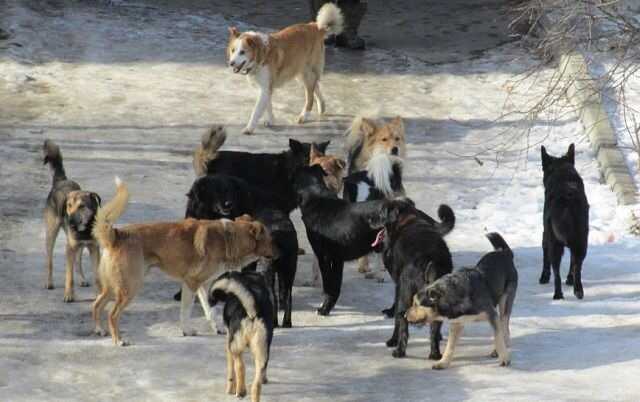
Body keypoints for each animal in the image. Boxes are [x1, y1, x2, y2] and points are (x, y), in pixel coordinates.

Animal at [92, 178, 272, 346]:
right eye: (270, 239)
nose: (278, 251)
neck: (229, 238)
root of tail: (117, 235)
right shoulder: (191, 283)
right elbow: (186, 311)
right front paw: (187, 331)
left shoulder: (203, 285)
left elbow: (210, 310)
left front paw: (218, 328)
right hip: (129, 287)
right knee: (112, 314)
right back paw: (119, 340)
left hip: (114, 287)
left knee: (96, 305)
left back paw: (99, 330)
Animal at [182, 174, 298, 328]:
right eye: (216, 191)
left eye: (229, 191)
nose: (228, 204)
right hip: (289, 269)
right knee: (288, 295)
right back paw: (286, 322)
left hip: (270, 269)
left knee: (273, 294)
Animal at [226, 3, 342, 135]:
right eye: (233, 50)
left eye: (242, 52)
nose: (231, 63)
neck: (261, 55)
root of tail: (315, 26)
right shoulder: (266, 88)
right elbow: (268, 106)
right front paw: (271, 120)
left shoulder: (265, 88)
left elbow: (256, 111)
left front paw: (249, 128)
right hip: (301, 73)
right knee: (315, 86)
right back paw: (322, 107)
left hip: (305, 74)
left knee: (310, 95)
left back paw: (304, 116)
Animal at [296, 165, 396, 316]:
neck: (317, 198)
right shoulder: (337, 259)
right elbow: (335, 285)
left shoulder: (323, 256)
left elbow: (328, 285)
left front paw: (324, 309)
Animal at [540, 144, 592, 298]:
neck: (562, 172)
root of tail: (568, 200)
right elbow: (572, 263)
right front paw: (569, 279)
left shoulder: (545, 234)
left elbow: (546, 258)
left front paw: (544, 277)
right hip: (582, 241)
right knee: (577, 266)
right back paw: (578, 290)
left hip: (554, 243)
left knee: (556, 272)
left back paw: (558, 295)